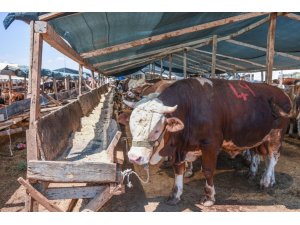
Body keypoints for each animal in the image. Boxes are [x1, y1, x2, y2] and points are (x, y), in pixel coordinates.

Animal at [126, 77, 290, 206]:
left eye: (156, 129)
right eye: (131, 125)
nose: (134, 157)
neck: (189, 107)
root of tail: (280, 91)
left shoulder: (210, 145)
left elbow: (208, 170)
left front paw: (209, 197)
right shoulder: (180, 148)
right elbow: (178, 169)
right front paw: (175, 195)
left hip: (276, 135)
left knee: (272, 157)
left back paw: (266, 181)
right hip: (259, 137)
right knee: (264, 157)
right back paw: (259, 175)